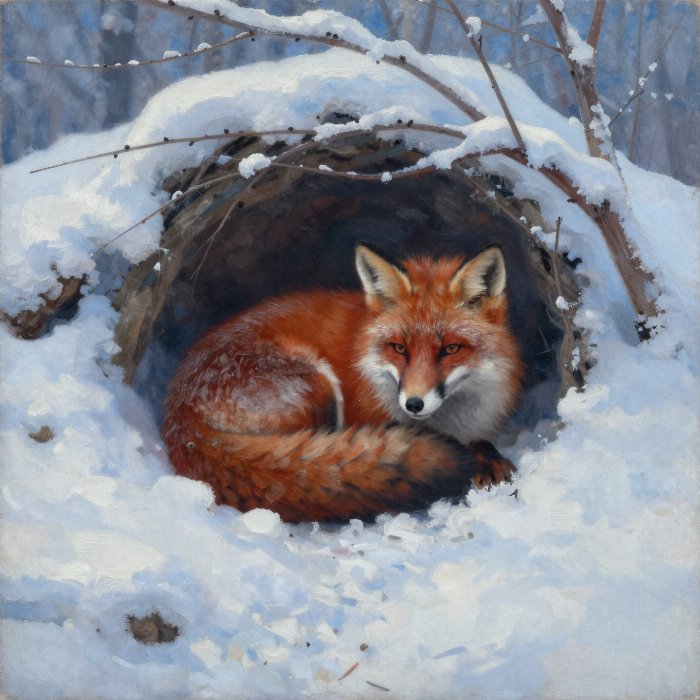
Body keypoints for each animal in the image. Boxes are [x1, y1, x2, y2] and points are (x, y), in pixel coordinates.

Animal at [161, 244, 523, 523]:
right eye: (399, 348)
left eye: (450, 349)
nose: (414, 404)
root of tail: (182, 422)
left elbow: (482, 443)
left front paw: (491, 461)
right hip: (317, 384)